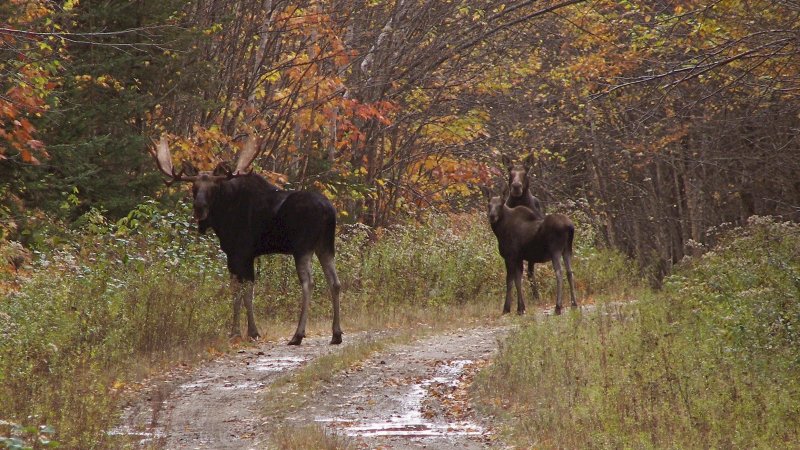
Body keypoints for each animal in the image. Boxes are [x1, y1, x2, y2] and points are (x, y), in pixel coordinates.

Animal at [152, 135, 342, 346]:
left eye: (213, 187)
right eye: (194, 187)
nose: (199, 207)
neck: (222, 218)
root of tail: (328, 210)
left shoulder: (240, 253)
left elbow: (243, 292)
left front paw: (248, 331)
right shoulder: (242, 256)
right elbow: (240, 291)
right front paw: (239, 331)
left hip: (303, 247)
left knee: (308, 283)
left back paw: (298, 335)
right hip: (325, 245)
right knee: (335, 282)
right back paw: (336, 334)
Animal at [482, 183, 576, 312]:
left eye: (500, 205)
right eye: (489, 205)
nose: (492, 216)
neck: (500, 231)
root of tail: (570, 227)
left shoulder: (510, 256)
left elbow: (509, 281)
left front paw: (507, 308)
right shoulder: (519, 257)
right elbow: (518, 280)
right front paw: (520, 308)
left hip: (555, 250)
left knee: (559, 272)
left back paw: (558, 307)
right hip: (567, 249)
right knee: (569, 272)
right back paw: (574, 304)